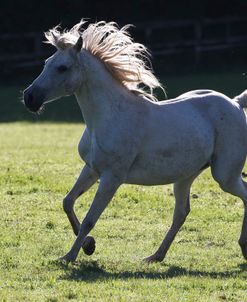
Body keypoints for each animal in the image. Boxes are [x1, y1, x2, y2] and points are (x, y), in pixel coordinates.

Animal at [23, 20, 247, 264]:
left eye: (62, 68)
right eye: (47, 63)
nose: (29, 97)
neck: (109, 116)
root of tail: (235, 103)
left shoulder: (112, 177)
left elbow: (90, 219)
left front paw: (70, 255)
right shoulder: (92, 169)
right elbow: (68, 202)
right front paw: (88, 245)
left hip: (225, 175)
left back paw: (243, 247)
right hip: (186, 176)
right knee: (181, 213)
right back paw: (156, 256)